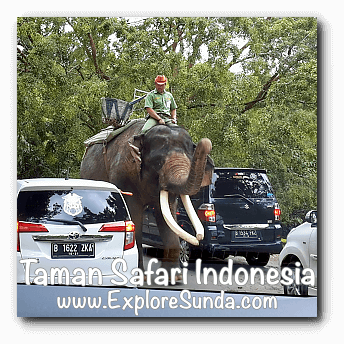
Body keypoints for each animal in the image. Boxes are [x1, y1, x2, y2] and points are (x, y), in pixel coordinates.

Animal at [80, 119, 212, 278]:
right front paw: (138, 276)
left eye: (191, 157)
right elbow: (134, 214)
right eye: (158, 162)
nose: (206, 142)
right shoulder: (124, 176)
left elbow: (167, 216)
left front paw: (174, 278)